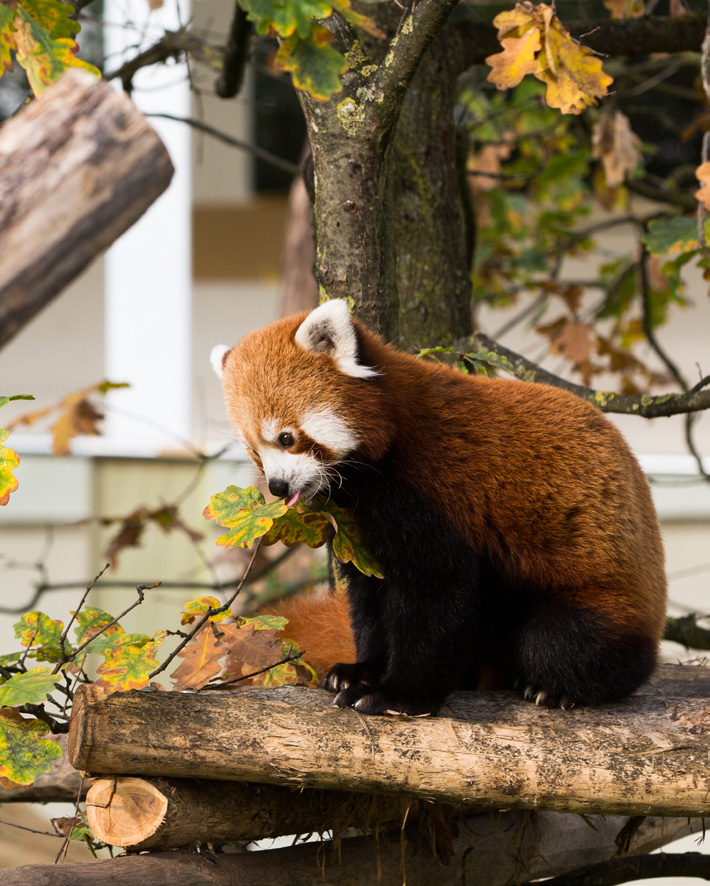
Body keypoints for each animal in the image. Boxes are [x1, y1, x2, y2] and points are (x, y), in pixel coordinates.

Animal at [214, 302, 672, 720]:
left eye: (286, 438)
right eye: (255, 452)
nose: (278, 486)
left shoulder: (439, 494)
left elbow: (434, 598)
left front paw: (398, 695)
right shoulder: (358, 527)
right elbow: (370, 595)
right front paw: (362, 672)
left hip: (602, 594)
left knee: (558, 643)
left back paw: (555, 688)